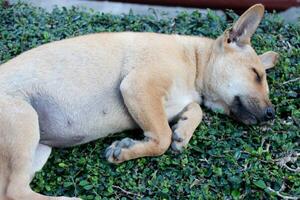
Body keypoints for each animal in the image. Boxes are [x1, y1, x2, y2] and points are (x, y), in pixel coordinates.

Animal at [0, 3, 278, 200]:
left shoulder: (170, 103)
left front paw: (184, 130)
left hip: (38, 149)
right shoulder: (138, 86)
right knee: (14, 192)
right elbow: (161, 138)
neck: (194, 60)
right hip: (24, 119)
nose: (271, 114)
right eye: (256, 75)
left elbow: (194, 109)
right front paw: (127, 150)